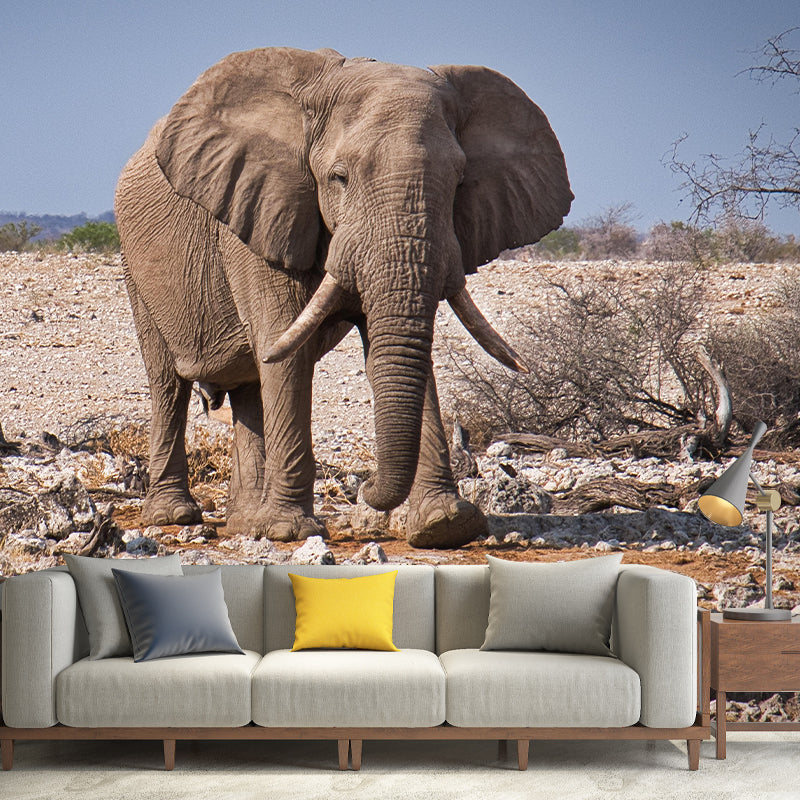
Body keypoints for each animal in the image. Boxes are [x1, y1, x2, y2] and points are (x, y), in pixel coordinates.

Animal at [114, 47, 572, 548]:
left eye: (458, 184)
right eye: (339, 178)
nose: (367, 489)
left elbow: (395, 349)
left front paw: (446, 524)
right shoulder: (260, 213)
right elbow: (285, 348)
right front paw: (289, 531)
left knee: (250, 387)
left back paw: (244, 523)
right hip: (135, 266)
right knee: (168, 383)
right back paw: (175, 516)